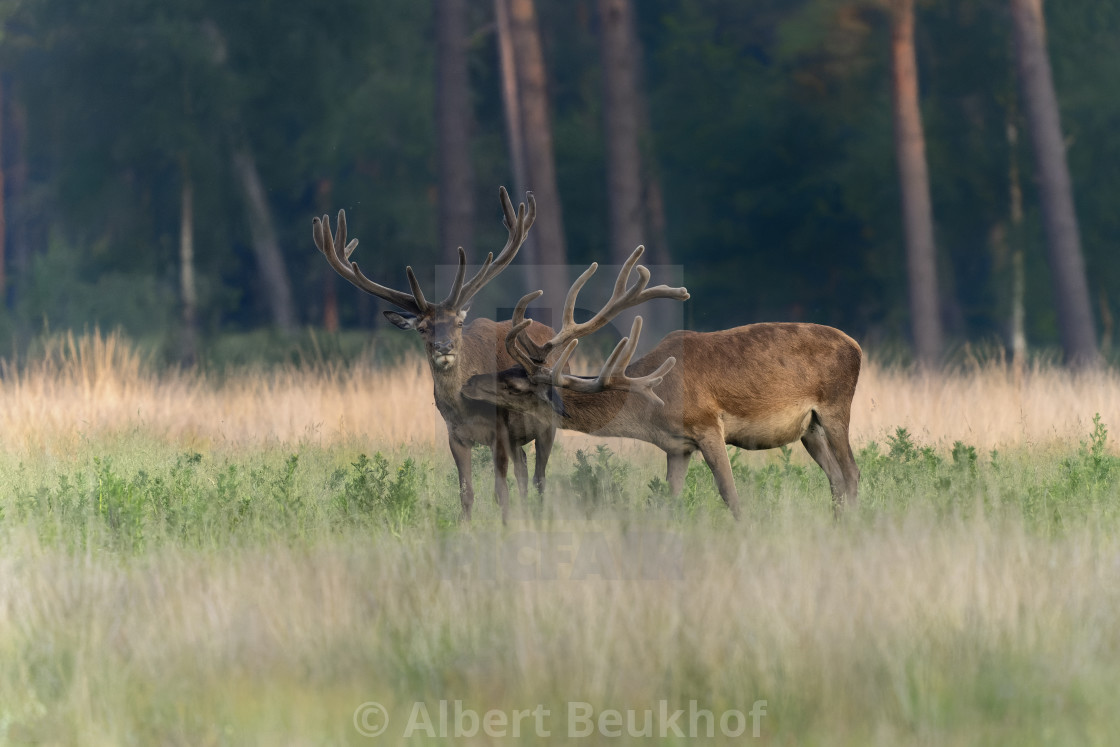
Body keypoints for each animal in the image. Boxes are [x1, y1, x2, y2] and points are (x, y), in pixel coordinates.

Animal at [311, 187, 555, 524]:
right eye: (423, 328)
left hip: (548, 423)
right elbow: (466, 493)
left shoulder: (501, 429)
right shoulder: (456, 436)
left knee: (539, 478)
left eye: (459, 323)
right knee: (525, 474)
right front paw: (466, 527)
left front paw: (507, 526)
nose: (444, 347)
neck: (467, 406)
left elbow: (499, 491)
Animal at [459, 249, 860, 515]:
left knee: (852, 474)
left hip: (837, 407)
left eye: (515, 384)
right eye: (506, 370)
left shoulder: (707, 425)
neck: (651, 409)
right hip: (809, 428)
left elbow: (729, 492)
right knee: (835, 480)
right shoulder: (676, 446)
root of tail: (856, 345)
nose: (468, 383)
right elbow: (672, 498)